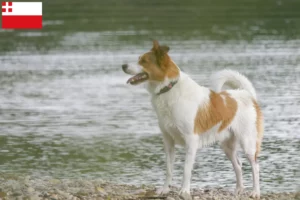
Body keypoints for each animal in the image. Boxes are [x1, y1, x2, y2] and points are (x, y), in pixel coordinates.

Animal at [121, 39, 262, 199]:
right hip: (227, 146)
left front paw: (184, 191)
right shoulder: (168, 141)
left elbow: (186, 170)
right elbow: (168, 169)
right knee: (238, 165)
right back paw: (239, 190)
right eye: (139, 59)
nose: (123, 66)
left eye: (143, 61)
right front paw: (165, 189)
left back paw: (255, 192)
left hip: (248, 143)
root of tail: (246, 94)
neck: (169, 89)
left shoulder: (191, 141)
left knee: (255, 166)